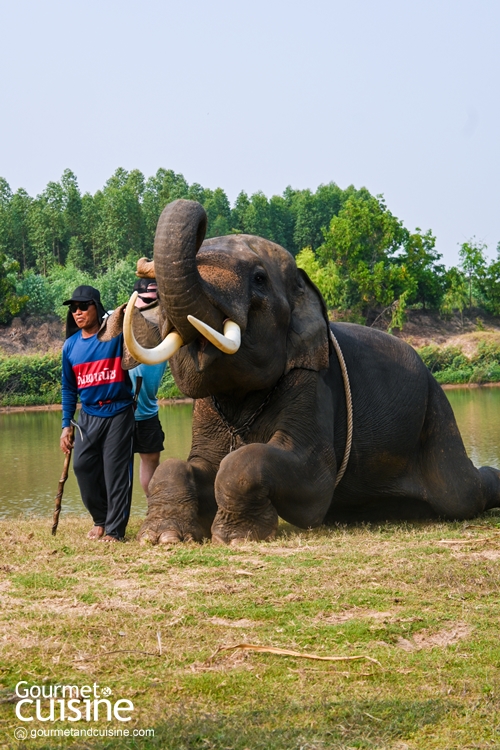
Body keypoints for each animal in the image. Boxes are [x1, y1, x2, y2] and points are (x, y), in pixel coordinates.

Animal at [101, 197, 500, 544]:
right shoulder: (207, 408)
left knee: (461, 492)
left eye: (259, 278)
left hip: (437, 415)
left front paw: (238, 538)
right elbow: (185, 465)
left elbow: (301, 473)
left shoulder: (314, 383)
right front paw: (162, 538)